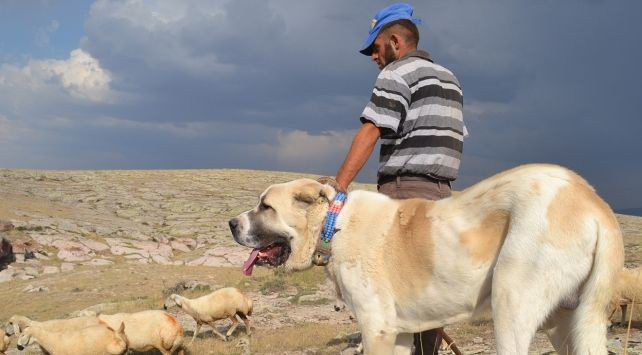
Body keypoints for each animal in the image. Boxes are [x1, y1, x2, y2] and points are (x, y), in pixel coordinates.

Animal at [228, 165, 624, 354]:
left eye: (266, 207)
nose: (231, 223)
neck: (334, 225)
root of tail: (593, 201)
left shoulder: (377, 329)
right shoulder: (400, 333)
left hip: (511, 304)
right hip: (567, 324)